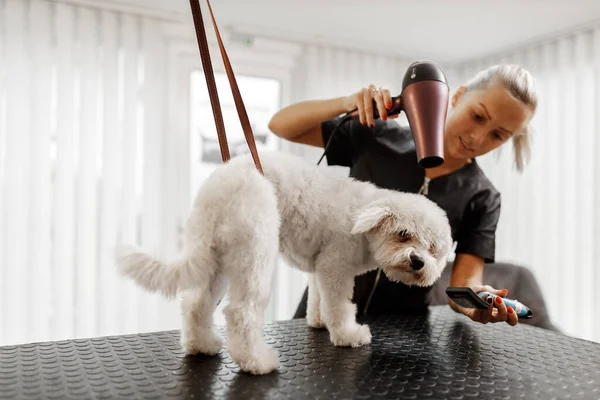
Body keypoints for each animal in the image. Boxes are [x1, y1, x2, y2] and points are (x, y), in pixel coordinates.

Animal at [115, 150, 452, 376]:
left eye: (433, 248)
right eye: (403, 234)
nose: (418, 261)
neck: (363, 221)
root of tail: (219, 188)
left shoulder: (319, 268)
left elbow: (318, 298)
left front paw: (318, 321)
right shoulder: (336, 265)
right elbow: (340, 306)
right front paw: (348, 335)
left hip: (218, 257)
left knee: (196, 304)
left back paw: (201, 344)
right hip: (255, 251)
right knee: (240, 312)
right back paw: (257, 362)